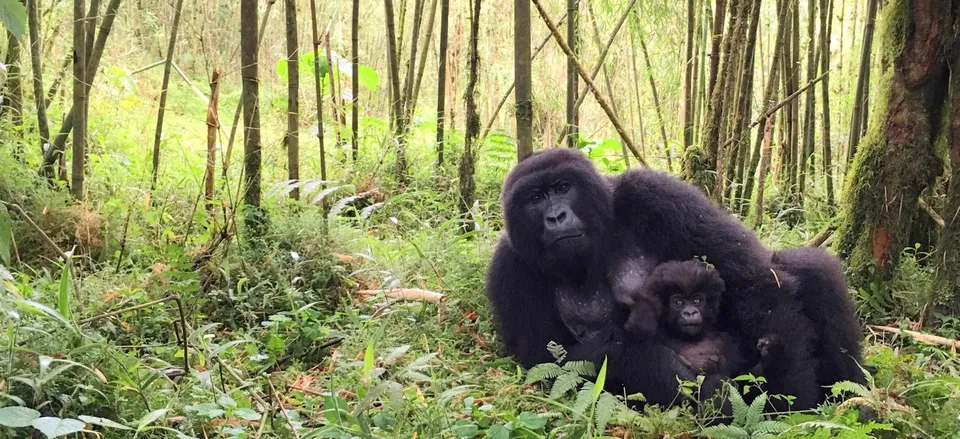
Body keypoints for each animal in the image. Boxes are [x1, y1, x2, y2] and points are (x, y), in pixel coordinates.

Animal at [624, 262, 780, 378]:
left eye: (697, 300)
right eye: (678, 302)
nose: (690, 312)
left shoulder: (726, 343)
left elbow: (742, 378)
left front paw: (770, 350)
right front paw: (642, 314)